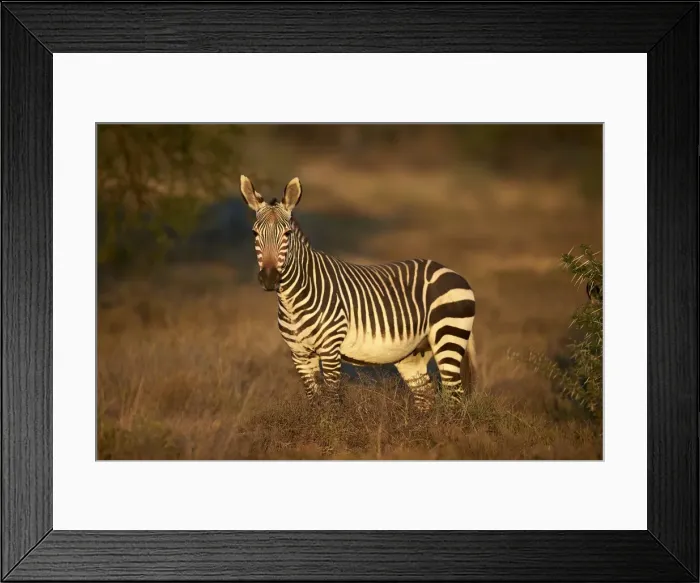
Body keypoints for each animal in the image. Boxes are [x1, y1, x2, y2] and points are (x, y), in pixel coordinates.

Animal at [239, 174, 477, 412]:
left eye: (287, 234)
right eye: (254, 233)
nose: (269, 279)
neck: (292, 300)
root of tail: (450, 271)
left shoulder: (330, 349)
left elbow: (332, 401)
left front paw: (332, 422)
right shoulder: (299, 354)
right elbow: (315, 403)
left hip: (448, 336)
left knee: (454, 395)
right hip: (413, 354)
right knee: (426, 396)